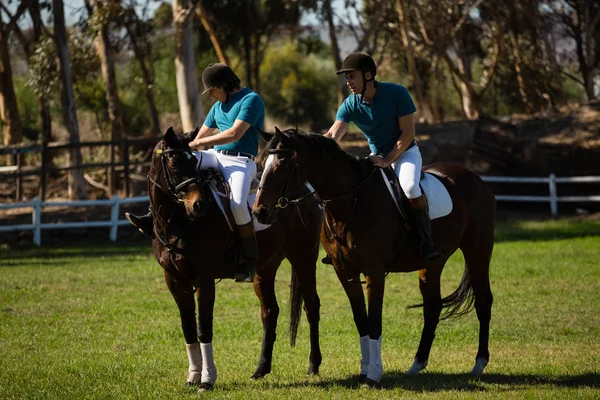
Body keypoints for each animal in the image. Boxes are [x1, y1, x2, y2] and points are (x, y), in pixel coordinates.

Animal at [149, 128, 324, 390]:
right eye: (174, 161)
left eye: (192, 162)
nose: (199, 205)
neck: (178, 222)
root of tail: (305, 191)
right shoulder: (175, 281)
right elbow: (188, 328)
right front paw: (193, 376)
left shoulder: (204, 279)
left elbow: (203, 328)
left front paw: (207, 380)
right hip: (265, 268)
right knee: (269, 312)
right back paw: (261, 369)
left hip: (303, 257)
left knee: (311, 305)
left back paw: (313, 365)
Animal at [253, 127, 496, 384]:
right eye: (262, 163)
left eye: (281, 163)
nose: (260, 212)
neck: (350, 201)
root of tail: (476, 179)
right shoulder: (345, 272)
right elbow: (361, 320)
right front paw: (364, 369)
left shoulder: (374, 271)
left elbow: (375, 320)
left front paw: (374, 374)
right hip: (432, 264)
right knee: (432, 307)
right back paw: (416, 364)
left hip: (478, 252)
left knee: (483, 301)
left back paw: (479, 363)